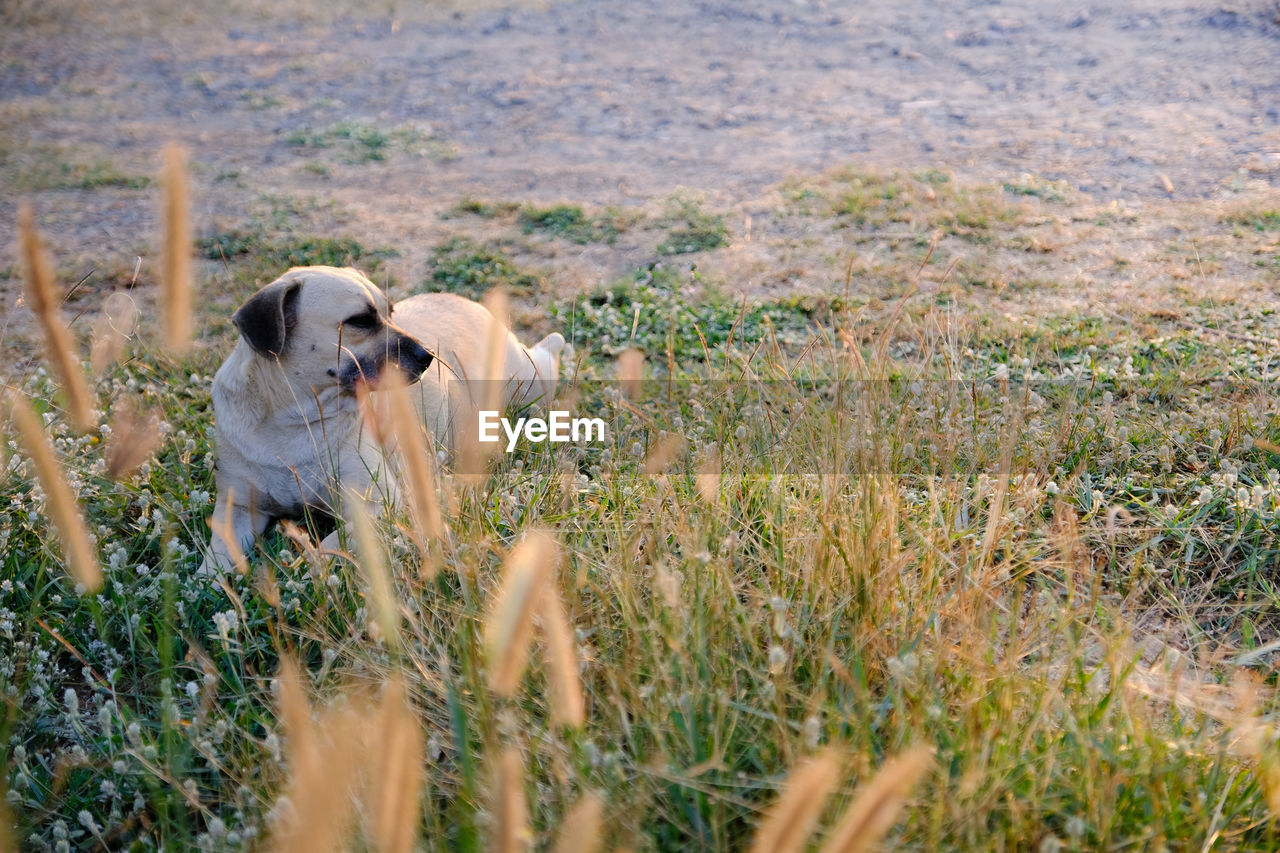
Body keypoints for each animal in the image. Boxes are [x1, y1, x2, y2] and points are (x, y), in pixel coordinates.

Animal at [198, 266, 560, 571]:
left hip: (528, 382)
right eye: (360, 320)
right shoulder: (238, 508)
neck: (294, 419)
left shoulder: (375, 505)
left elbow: (329, 547)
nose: (429, 356)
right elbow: (215, 559)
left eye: (390, 313)